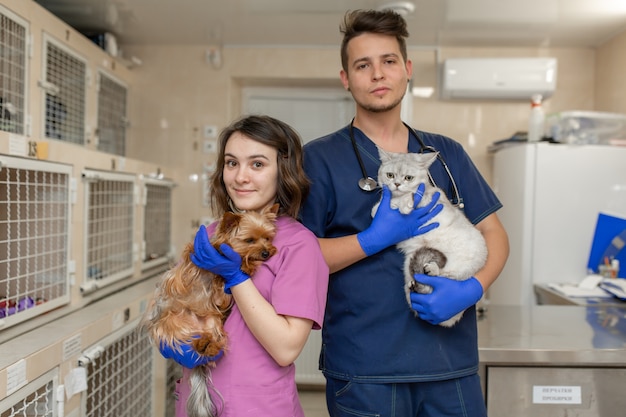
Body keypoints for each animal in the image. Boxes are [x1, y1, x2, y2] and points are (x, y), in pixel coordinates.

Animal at [370, 148, 488, 326]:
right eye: (390, 175)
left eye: (408, 178)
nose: (396, 184)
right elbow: (381, 207)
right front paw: (381, 210)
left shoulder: (430, 199)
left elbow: (413, 195)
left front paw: (405, 204)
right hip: (409, 264)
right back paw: (414, 285)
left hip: (459, 267)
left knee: (445, 276)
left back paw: (432, 269)